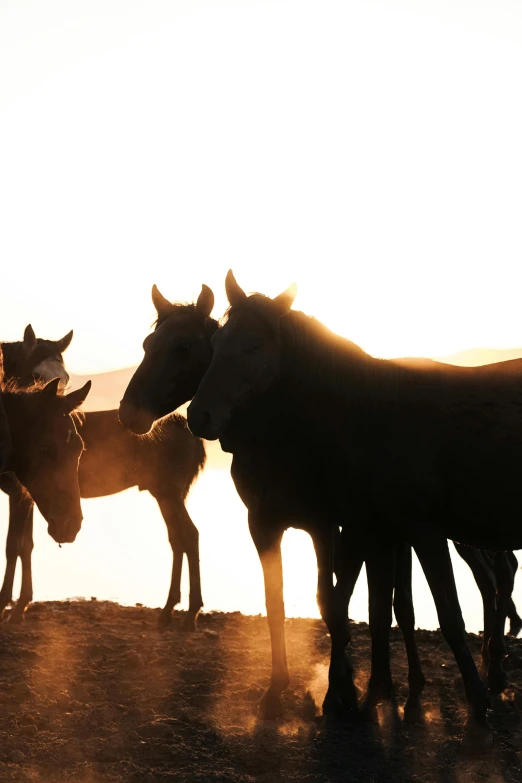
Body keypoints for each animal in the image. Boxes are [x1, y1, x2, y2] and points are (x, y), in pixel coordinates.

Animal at [0, 328, 203, 628]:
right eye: (35, 373)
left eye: (66, 376)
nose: (65, 407)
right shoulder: (26, 495)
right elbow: (26, 546)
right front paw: (20, 605)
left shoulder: (19, 494)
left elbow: (15, 546)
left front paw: (11, 605)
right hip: (166, 495)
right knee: (178, 539)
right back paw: (169, 609)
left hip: (169, 493)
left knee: (189, 536)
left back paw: (190, 612)